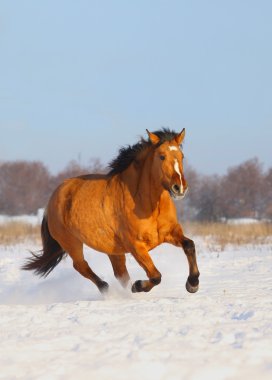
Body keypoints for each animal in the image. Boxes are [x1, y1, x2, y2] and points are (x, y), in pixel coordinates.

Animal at [22, 129, 200, 296]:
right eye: (162, 156)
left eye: (182, 156)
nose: (179, 187)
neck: (149, 205)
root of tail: (53, 198)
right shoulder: (136, 245)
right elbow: (155, 276)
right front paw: (138, 286)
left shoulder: (170, 232)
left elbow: (189, 245)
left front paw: (192, 284)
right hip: (71, 243)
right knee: (81, 266)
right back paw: (107, 289)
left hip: (113, 251)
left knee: (120, 274)